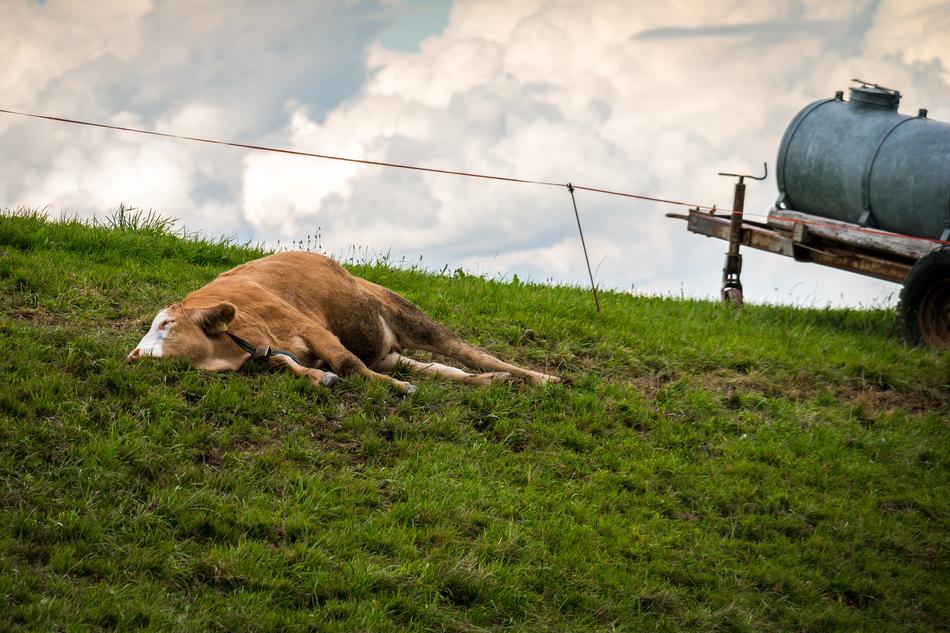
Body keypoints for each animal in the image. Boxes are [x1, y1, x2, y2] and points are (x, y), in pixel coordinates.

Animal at [127, 251, 560, 393]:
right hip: (387, 351)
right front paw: (320, 378)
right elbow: (292, 366)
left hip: (409, 316)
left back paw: (541, 379)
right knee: (445, 369)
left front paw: (396, 389)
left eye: (165, 324)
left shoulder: (311, 328)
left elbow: (346, 362)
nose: (133, 355)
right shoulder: (272, 351)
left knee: (473, 354)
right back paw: (490, 382)